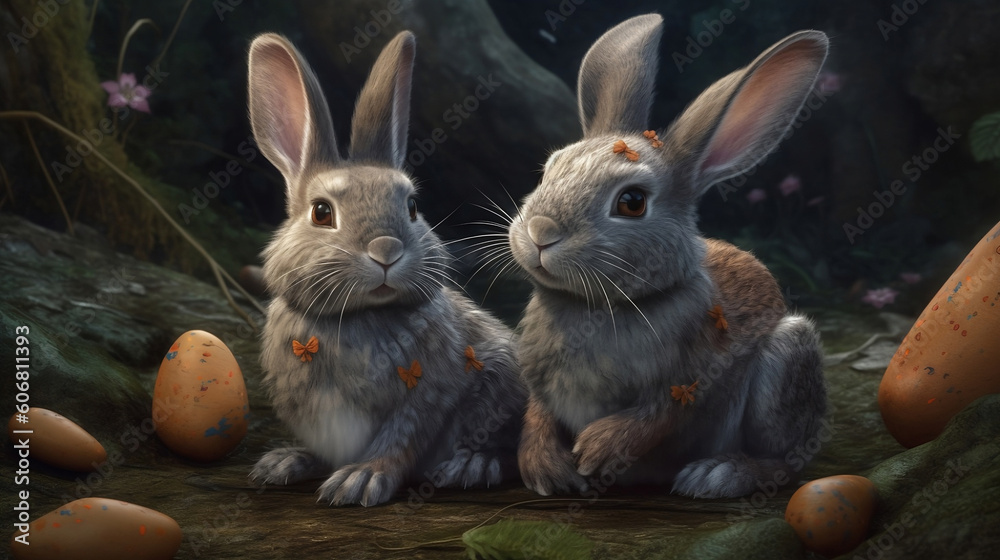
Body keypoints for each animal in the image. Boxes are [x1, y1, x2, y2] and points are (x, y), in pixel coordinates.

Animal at [246, 31, 526, 507]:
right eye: (321, 212)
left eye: (411, 207)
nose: (386, 250)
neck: (356, 317)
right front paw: (284, 462)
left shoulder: (427, 393)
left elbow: (401, 438)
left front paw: (359, 480)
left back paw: (471, 466)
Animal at [507, 14, 829, 499]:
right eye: (550, 170)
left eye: (632, 202)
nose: (541, 232)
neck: (598, 304)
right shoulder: (538, 384)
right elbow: (537, 414)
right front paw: (544, 468)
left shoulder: (693, 377)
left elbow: (659, 416)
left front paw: (596, 449)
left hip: (788, 360)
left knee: (786, 461)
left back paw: (717, 475)